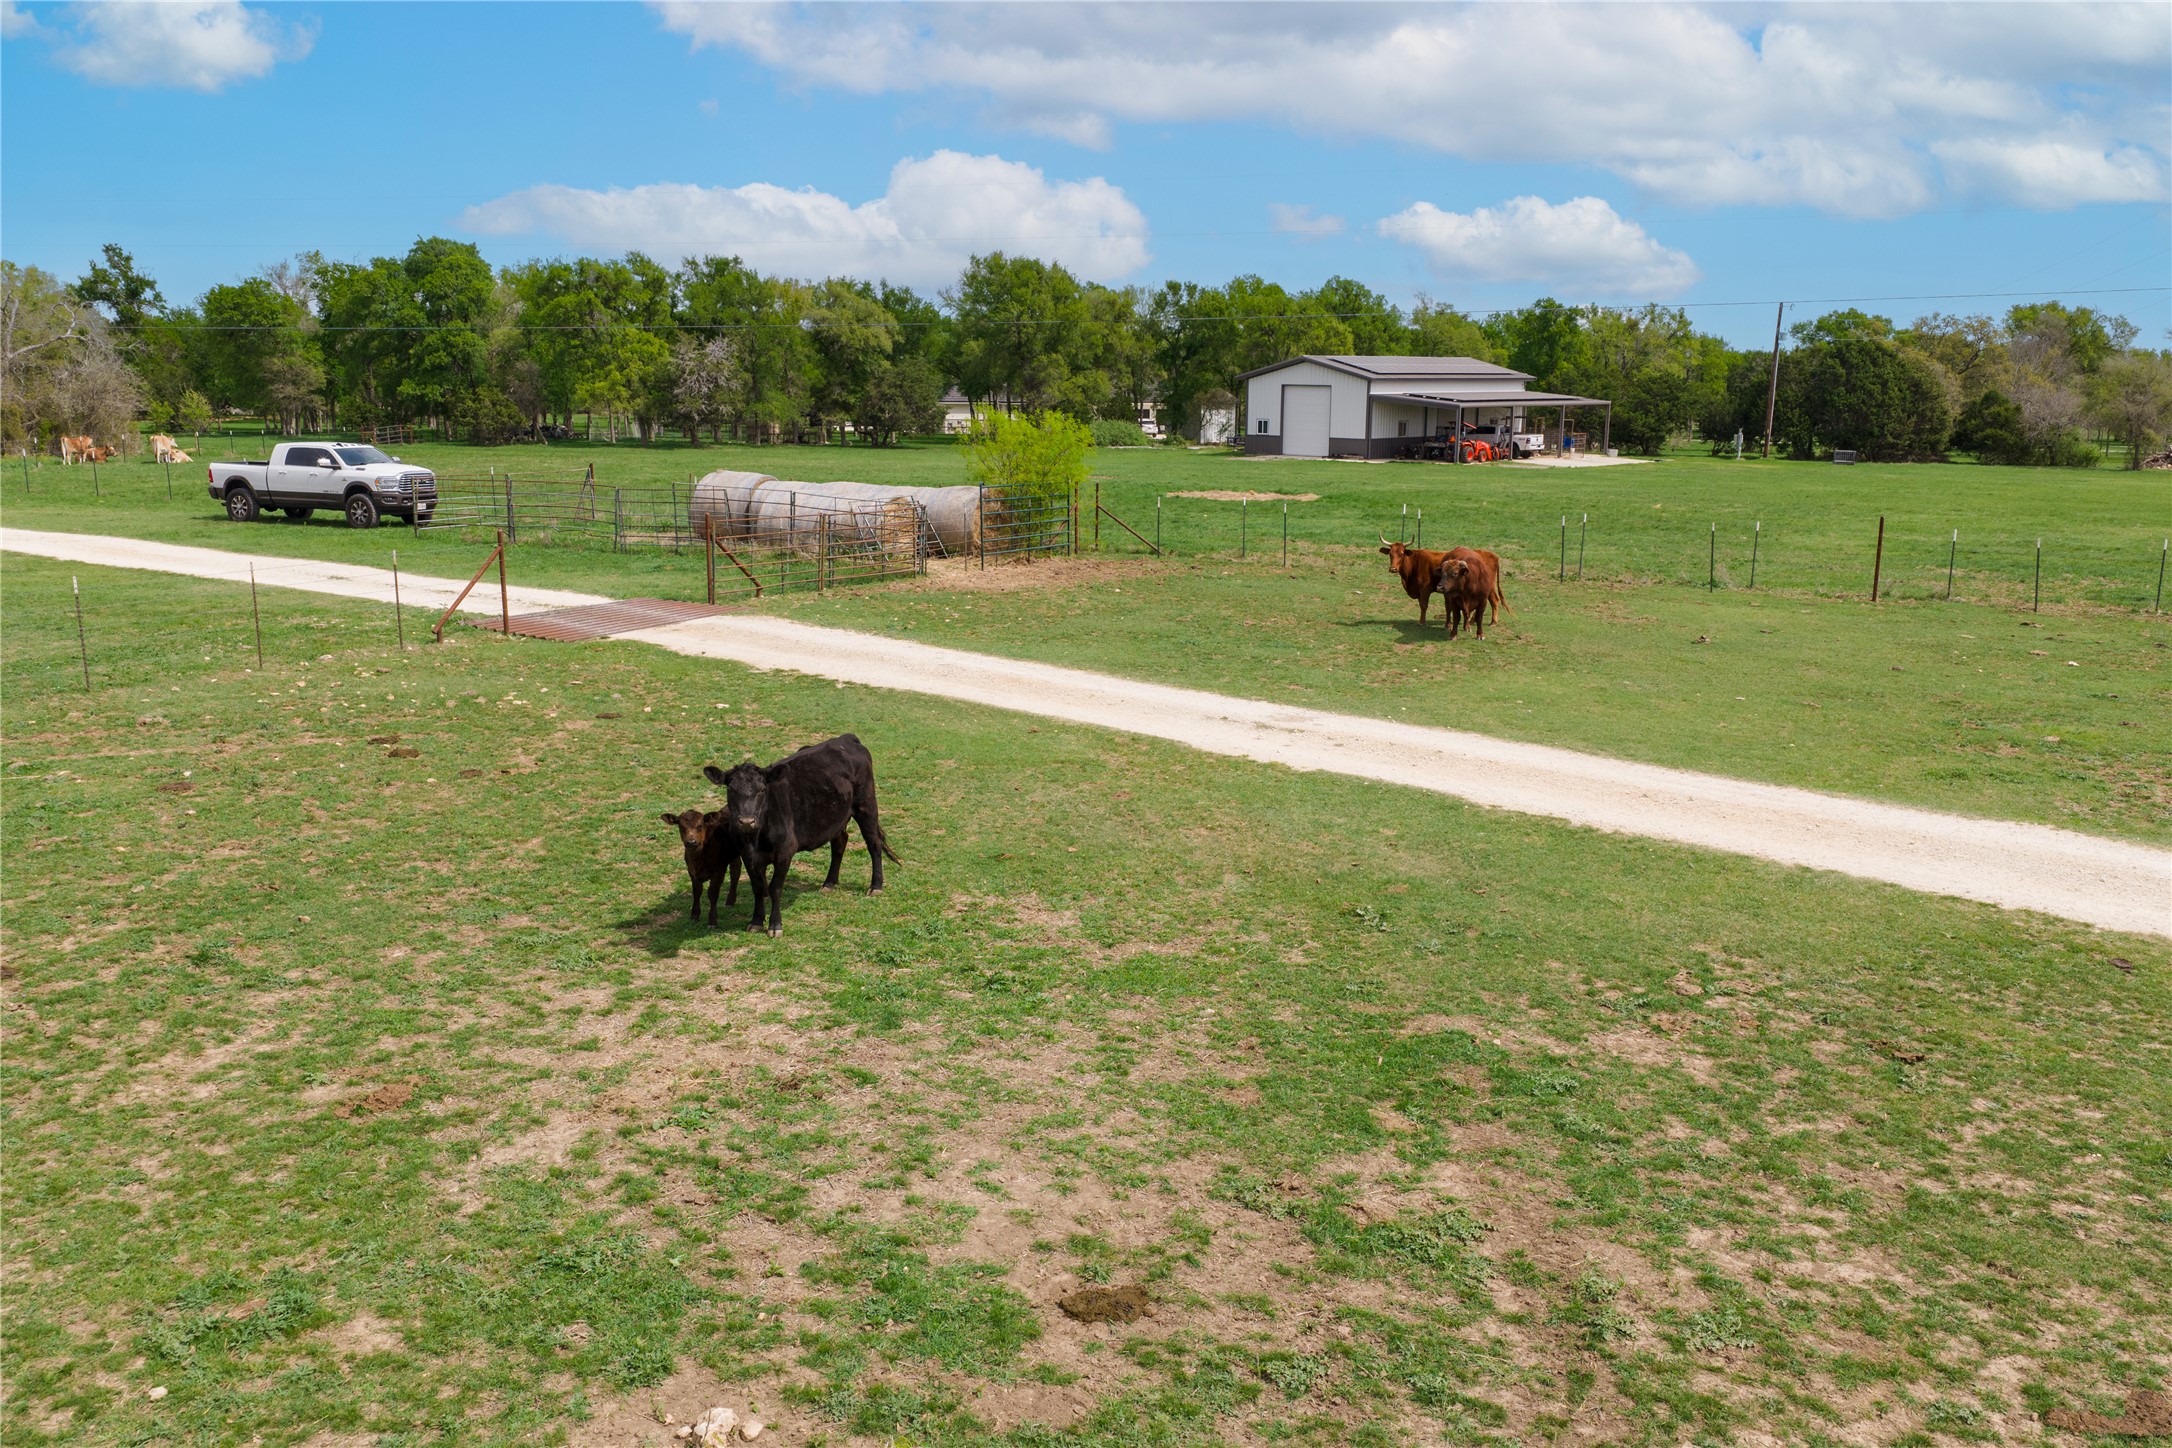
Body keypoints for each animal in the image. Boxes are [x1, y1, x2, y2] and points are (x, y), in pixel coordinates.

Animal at [703, 734, 898, 937]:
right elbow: (757, 888)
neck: (755, 839)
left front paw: (775, 925)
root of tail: (845, 738)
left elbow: (775, 888)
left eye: (762, 789)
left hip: (866, 804)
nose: (747, 821)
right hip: (835, 816)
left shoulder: (785, 851)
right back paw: (829, 883)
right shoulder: (747, 855)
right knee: (839, 842)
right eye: (730, 789)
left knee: (873, 844)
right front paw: (756, 921)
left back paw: (876, 886)